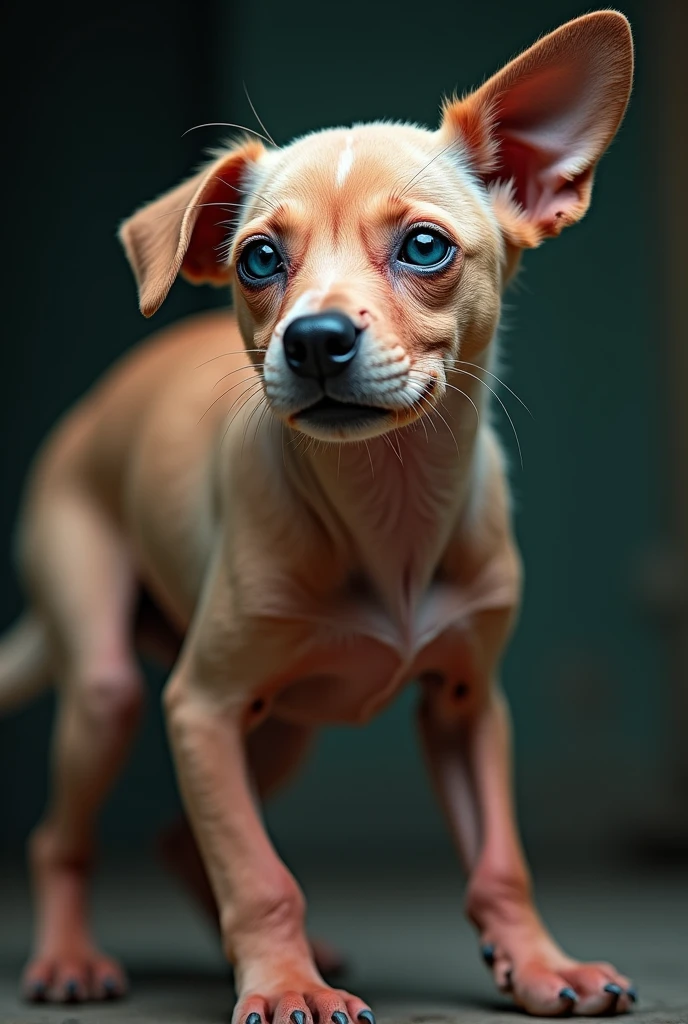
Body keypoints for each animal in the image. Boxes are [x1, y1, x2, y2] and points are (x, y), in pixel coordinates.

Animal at [0, 12, 634, 1019]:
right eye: (259, 259)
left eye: (425, 247)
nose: (315, 339)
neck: (389, 510)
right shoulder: (200, 707)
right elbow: (259, 876)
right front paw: (284, 983)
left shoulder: (466, 704)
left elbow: (500, 863)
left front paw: (539, 963)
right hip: (111, 692)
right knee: (63, 835)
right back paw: (69, 959)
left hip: (284, 724)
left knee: (183, 836)